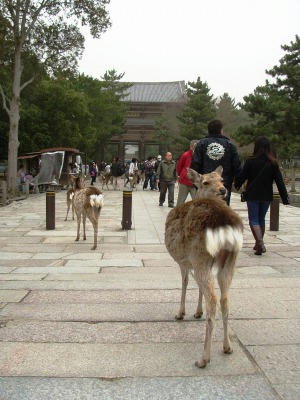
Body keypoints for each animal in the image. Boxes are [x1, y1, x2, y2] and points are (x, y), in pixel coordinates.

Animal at [165, 166, 243, 368]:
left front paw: (181, 313)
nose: (223, 189)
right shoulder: (193, 262)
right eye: (207, 181)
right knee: (225, 299)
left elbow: (184, 283)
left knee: (213, 300)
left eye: (222, 180)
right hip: (229, 262)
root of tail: (224, 227)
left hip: (200, 256)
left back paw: (204, 358)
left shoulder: (184, 260)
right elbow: (197, 288)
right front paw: (197, 312)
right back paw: (227, 347)